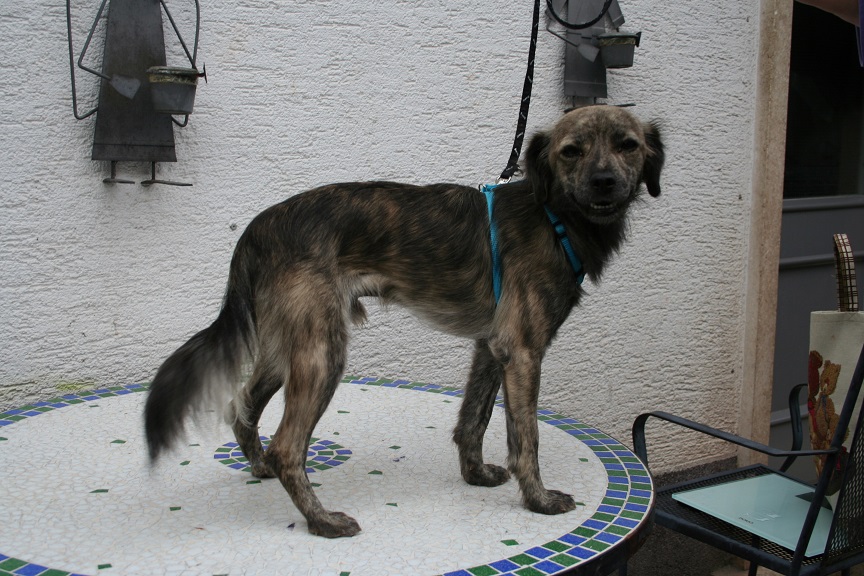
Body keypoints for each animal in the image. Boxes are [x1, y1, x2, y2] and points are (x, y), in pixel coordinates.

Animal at [144, 105, 664, 538]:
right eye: (571, 151)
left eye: (627, 145)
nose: (604, 182)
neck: (553, 213)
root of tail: (259, 227)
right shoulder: (522, 352)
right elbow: (526, 437)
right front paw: (538, 500)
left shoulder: (491, 346)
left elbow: (473, 418)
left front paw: (475, 475)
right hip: (322, 352)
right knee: (287, 447)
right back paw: (321, 520)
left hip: (285, 345)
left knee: (243, 407)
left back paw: (260, 470)